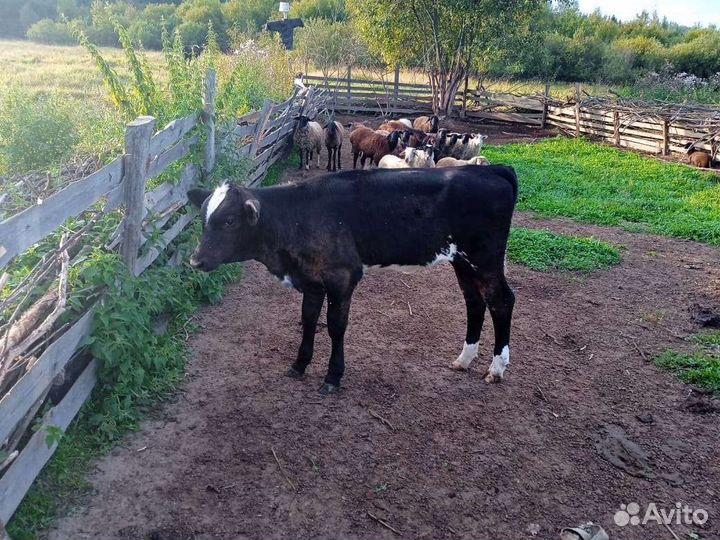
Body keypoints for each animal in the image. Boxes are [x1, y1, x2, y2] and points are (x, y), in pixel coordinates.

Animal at [187, 166, 517, 394]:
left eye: (229, 221)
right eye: (202, 218)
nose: (195, 260)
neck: (297, 216)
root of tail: (491, 169)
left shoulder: (342, 277)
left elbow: (335, 327)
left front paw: (333, 376)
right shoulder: (312, 280)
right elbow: (309, 320)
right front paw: (299, 364)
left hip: (485, 257)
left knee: (501, 301)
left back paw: (496, 368)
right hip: (462, 259)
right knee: (474, 301)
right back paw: (464, 359)